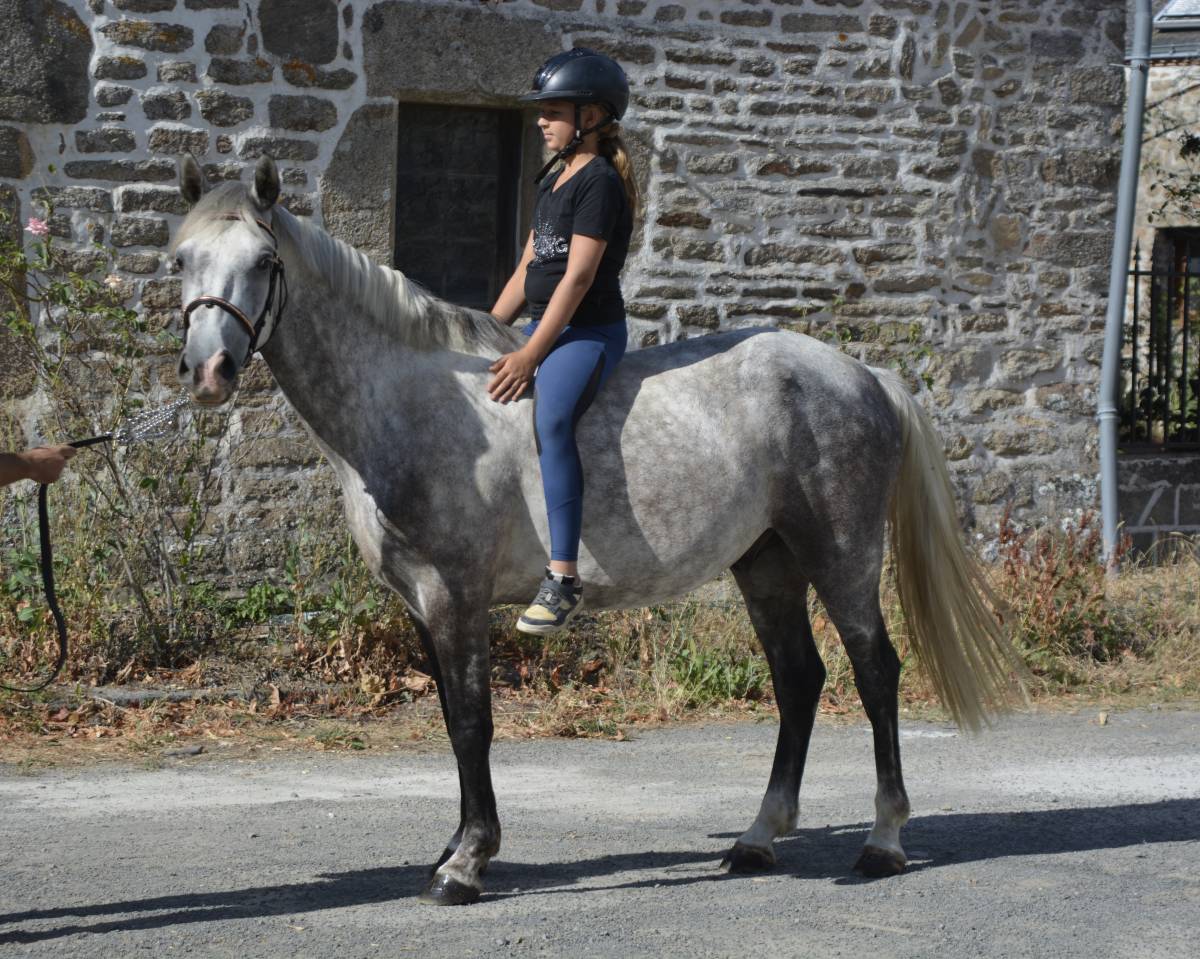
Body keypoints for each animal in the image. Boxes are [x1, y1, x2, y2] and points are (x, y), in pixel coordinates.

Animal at [170, 154, 1023, 905]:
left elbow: (473, 721)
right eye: (181, 258)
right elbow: (450, 717)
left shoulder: (454, 595)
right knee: (798, 678)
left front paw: (467, 862)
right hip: (766, 562)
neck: (413, 403)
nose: (209, 372)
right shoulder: (420, 602)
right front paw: (453, 849)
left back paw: (883, 840)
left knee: (876, 673)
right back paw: (758, 837)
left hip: (841, 555)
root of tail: (862, 374)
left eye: (263, 260)